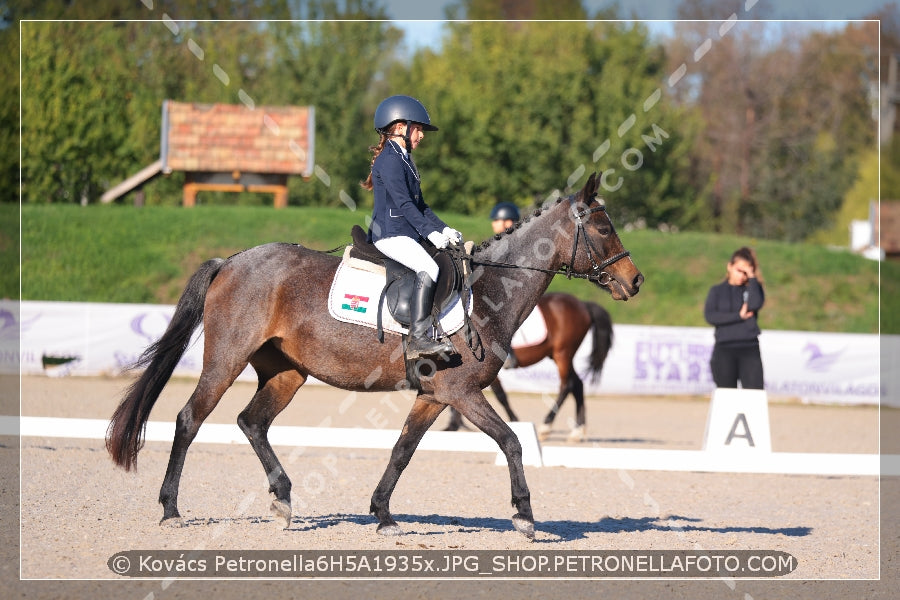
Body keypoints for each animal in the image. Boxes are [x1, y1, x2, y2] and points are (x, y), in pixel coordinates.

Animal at [442, 290, 612, 440]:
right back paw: (577, 431)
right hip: (558, 355)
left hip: (563, 354)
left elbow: (500, 395)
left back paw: (546, 426)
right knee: (578, 384)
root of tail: (583, 304)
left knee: (567, 385)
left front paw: (515, 421)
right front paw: (453, 425)